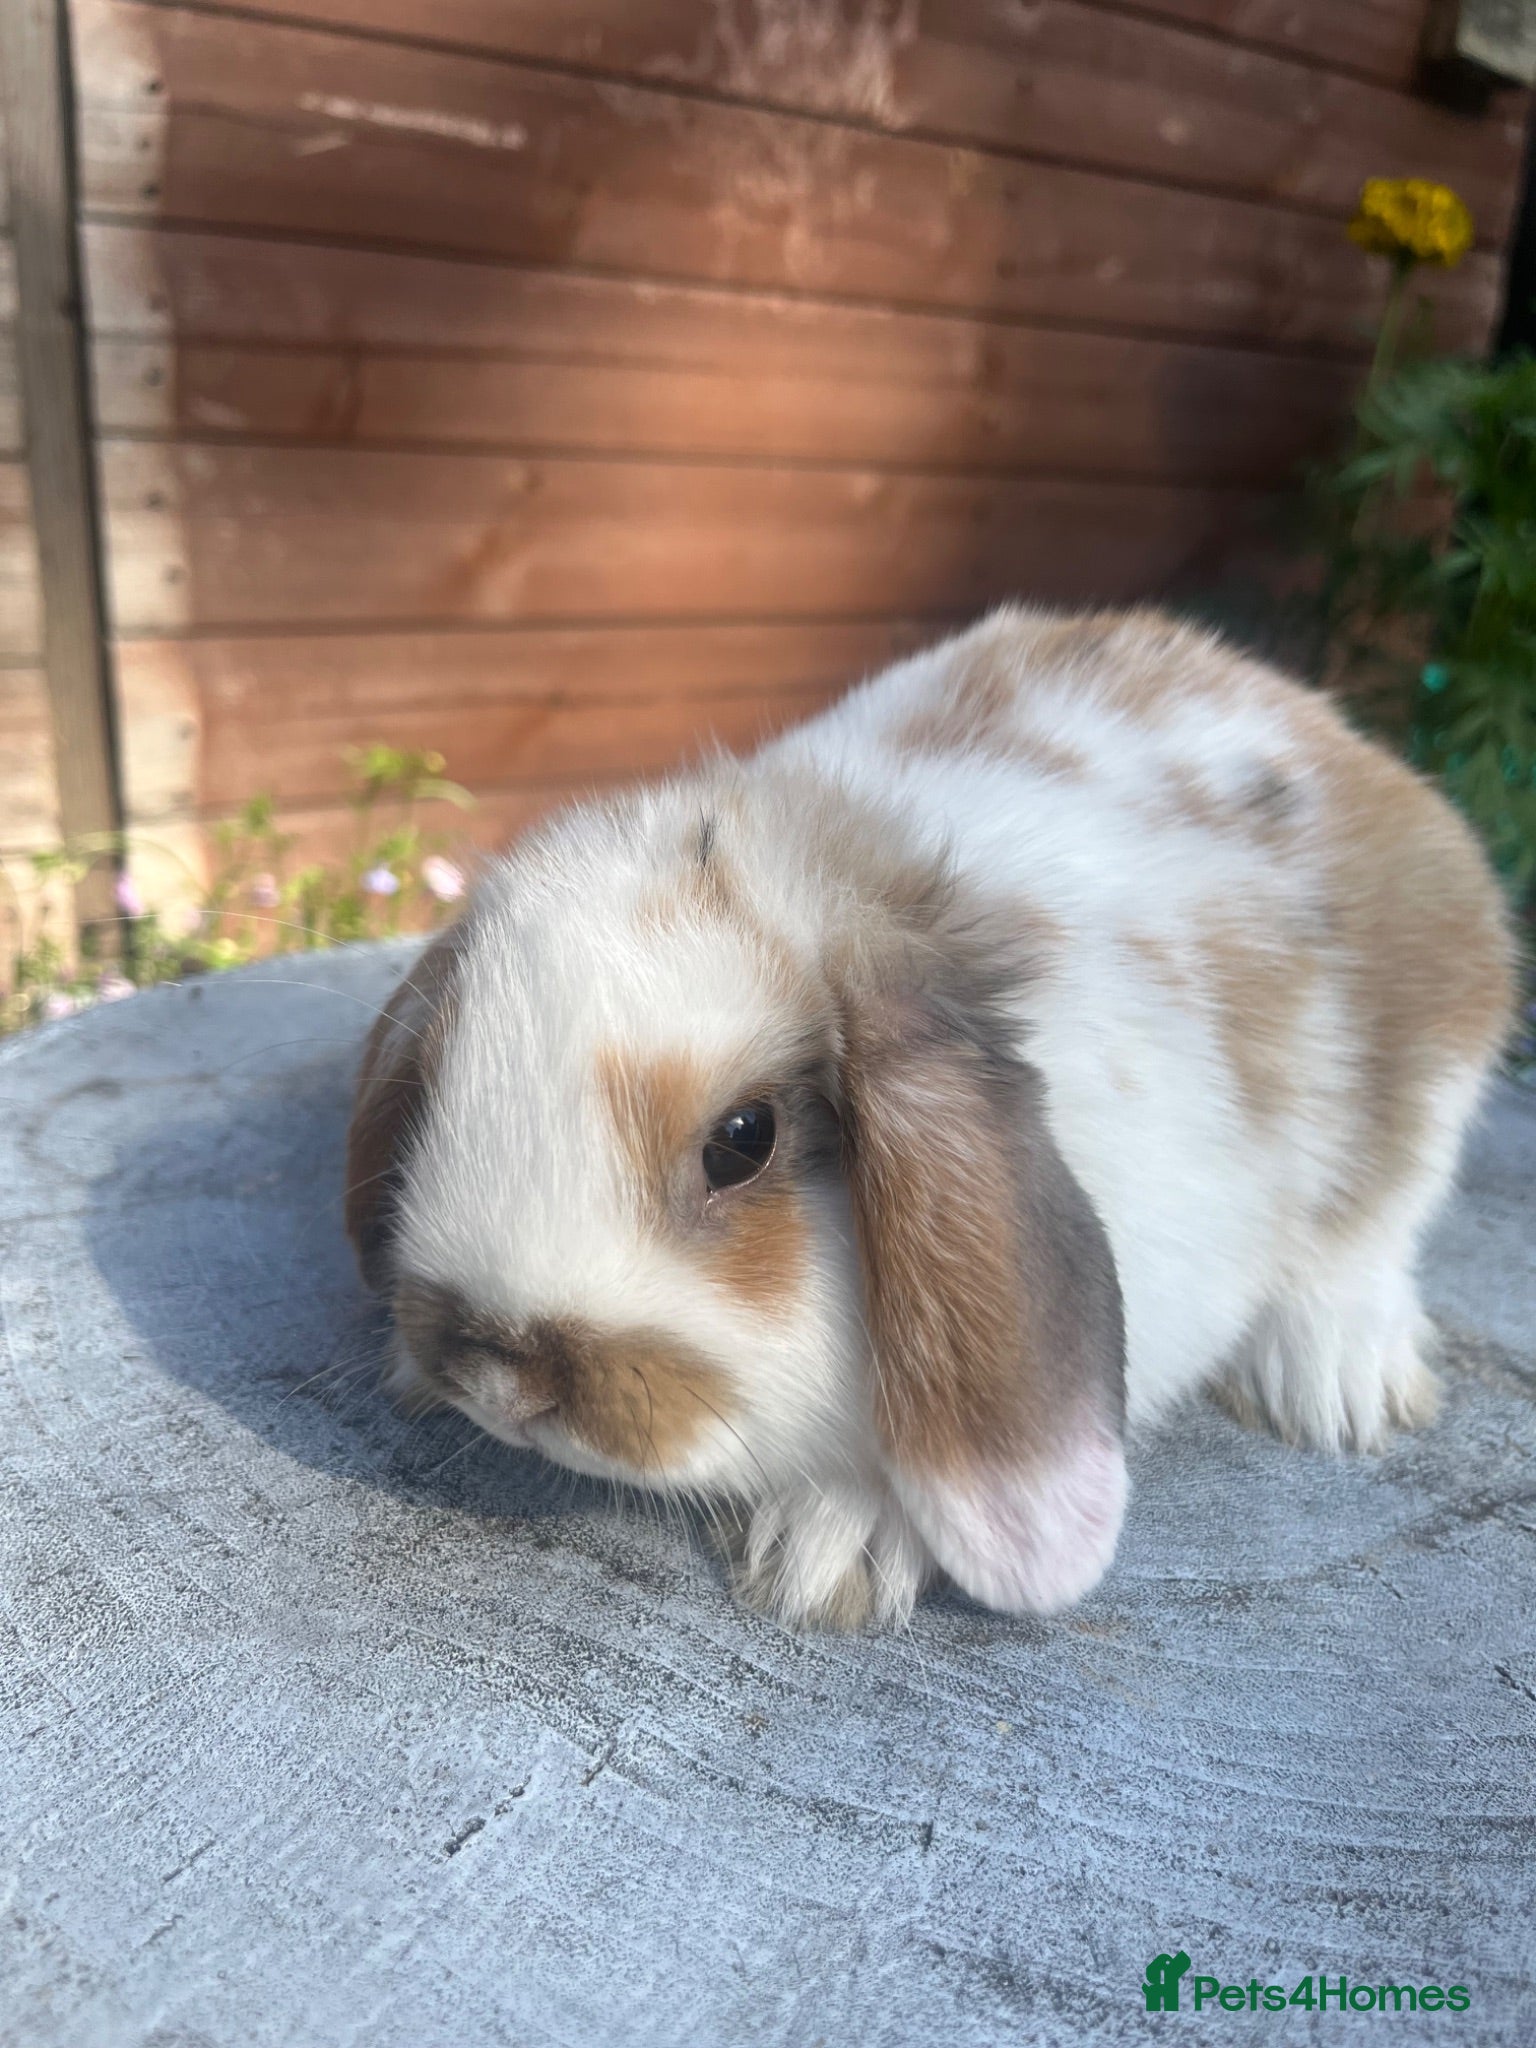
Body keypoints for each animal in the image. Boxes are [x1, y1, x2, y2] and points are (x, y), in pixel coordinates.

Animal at [346, 605, 1514, 1631]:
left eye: (744, 1140)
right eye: (439, 1083)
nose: (501, 1383)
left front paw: (832, 1548)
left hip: (1443, 1048)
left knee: (1375, 1228)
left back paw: (1338, 1382)